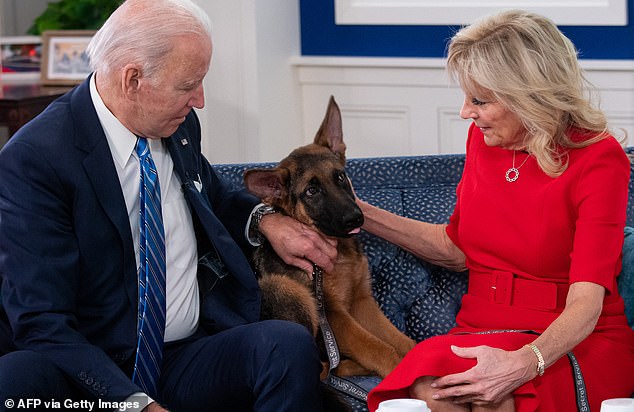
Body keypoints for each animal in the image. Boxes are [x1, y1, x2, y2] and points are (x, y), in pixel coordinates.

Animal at [242, 96, 414, 380]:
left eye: (340, 176)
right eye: (312, 191)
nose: (355, 218)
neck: (339, 250)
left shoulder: (361, 302)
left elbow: (402, 341)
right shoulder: (334, 314)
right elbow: (379, 348)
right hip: (286, 290)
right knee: (322, 368)